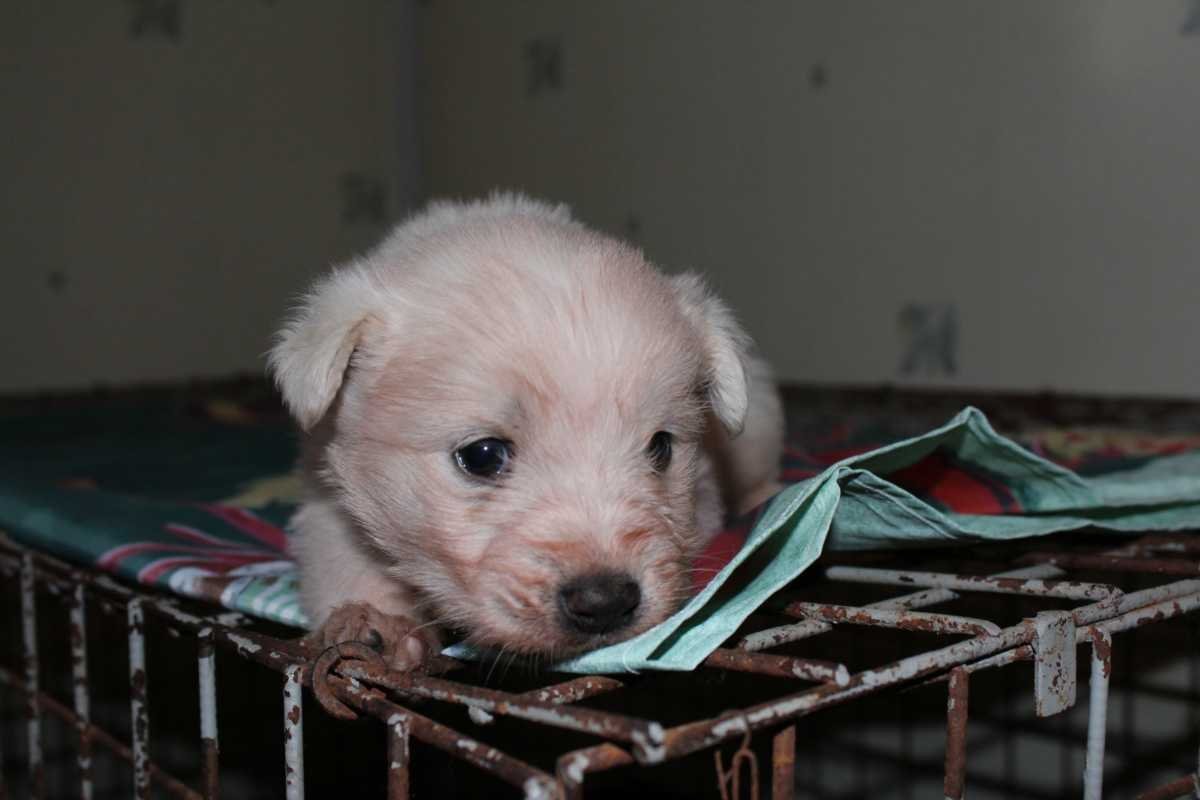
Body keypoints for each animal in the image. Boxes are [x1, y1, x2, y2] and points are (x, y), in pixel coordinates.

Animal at [267, 195, 782, 671]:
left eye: (660, 447)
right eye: (482, 455)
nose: (605, 602)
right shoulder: (326, 483)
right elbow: (342, 552)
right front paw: (376, 622)